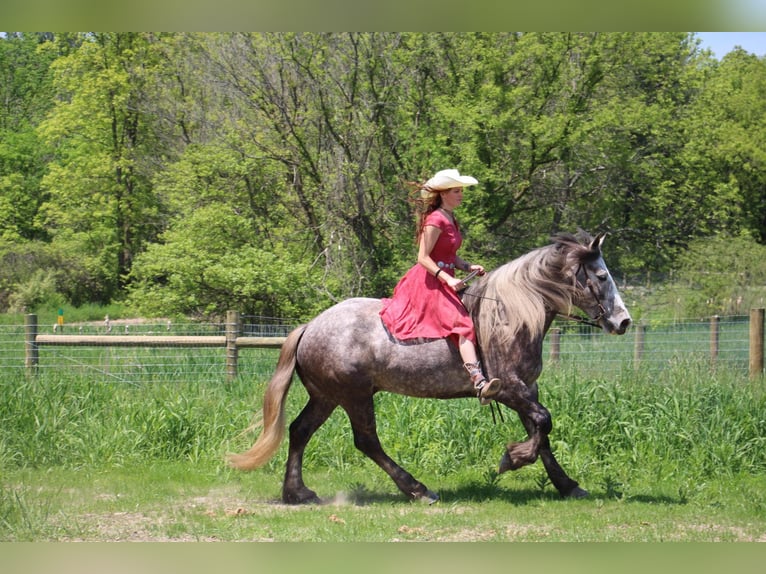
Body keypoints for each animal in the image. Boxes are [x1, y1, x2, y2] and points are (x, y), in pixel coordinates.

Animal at [229, 231, 632, 504]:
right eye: (601, 277)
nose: (623, 321)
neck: (511, 315)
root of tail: (310, 326)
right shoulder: (509, 387)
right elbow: (543, 423)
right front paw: (513, 459)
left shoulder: (526, 389)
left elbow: (541, 431)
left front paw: (567, 484)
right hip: (354, 396)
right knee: (366, 441)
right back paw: (417, 489)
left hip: (327, 397)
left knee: (299, 431)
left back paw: (297, 493)